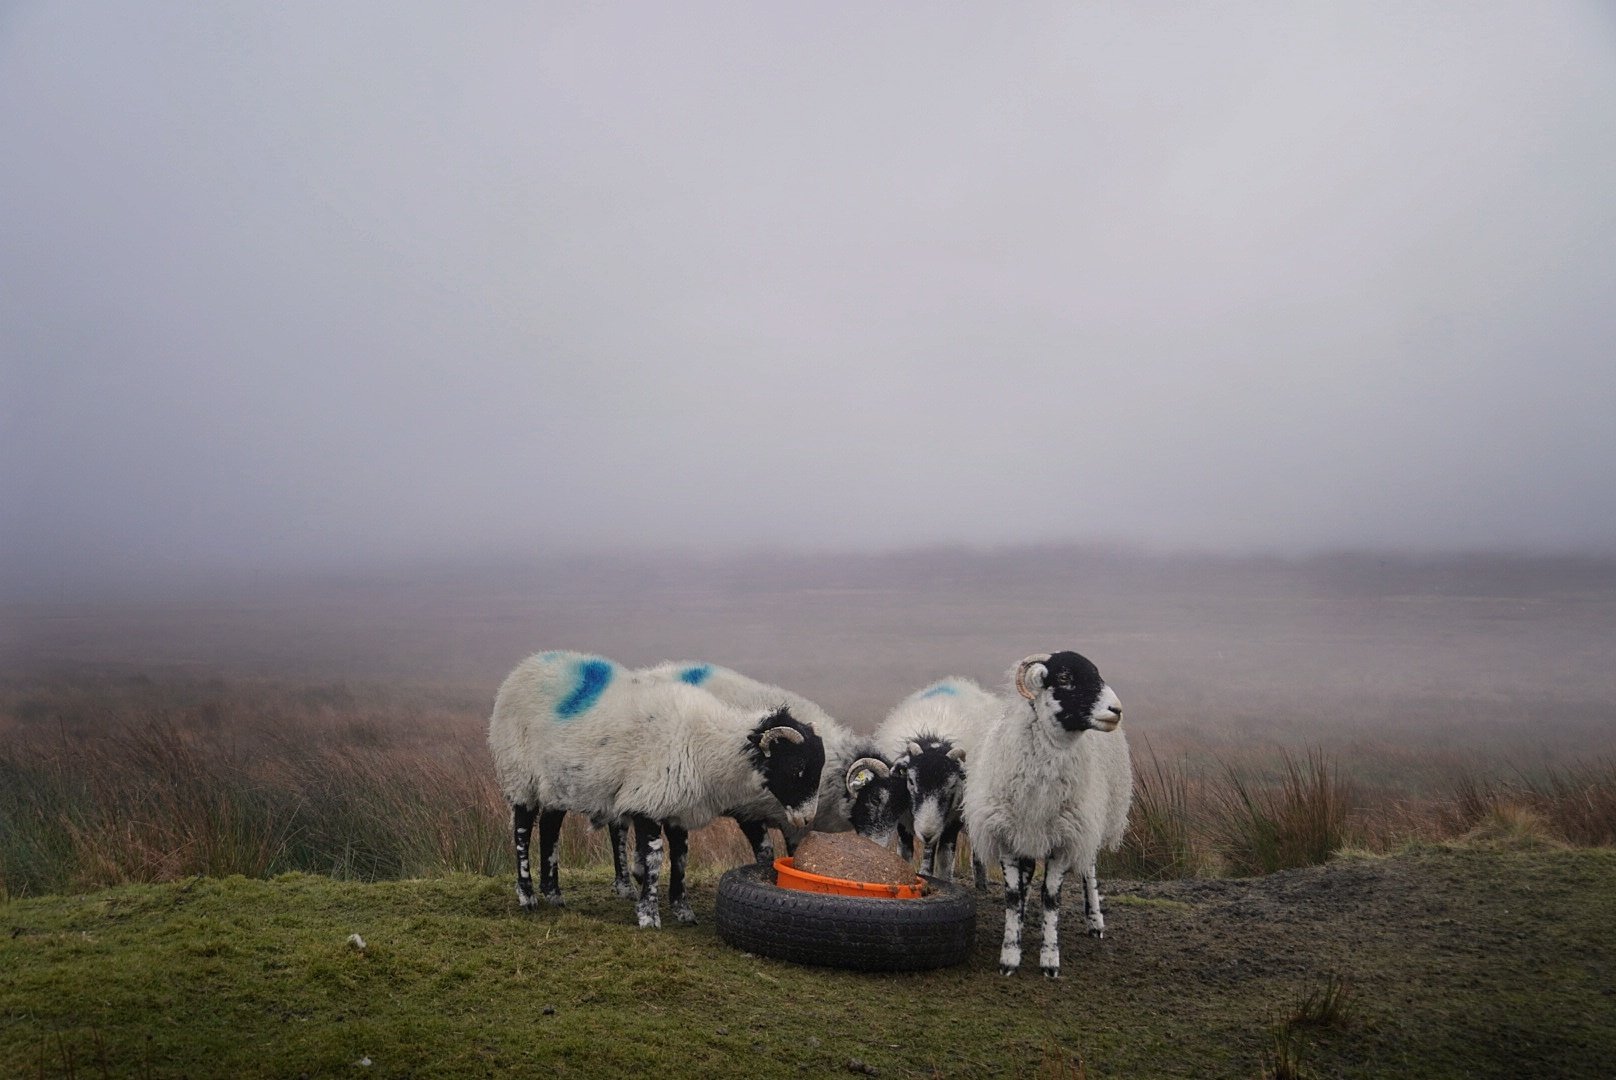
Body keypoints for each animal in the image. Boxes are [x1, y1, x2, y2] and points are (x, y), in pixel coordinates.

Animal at [488, 650, 826, 927]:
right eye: (797, 768)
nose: (807, 819)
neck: (707, 743)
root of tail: (524, 666)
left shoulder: (678, 808)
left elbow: (681, 857)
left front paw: (683, 910)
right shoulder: (647, 800)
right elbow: (653, 858)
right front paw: (649, 915)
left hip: (557, 783)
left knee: (550, 829)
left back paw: (554, 894)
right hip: (520, 775)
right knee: (521, 831)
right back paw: (527, 895)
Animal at [600, 661, 904, 894]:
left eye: (901, 809)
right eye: (875, 799)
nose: (879, 851)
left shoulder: (796, 824)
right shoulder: (748, 810)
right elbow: (767, 853)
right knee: (617, 827)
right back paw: (625, 883)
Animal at [873, 676, 999, 884]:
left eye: (952, 785)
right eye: (911, 781)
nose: (927, 833)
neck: (932, 738)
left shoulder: (954, 818)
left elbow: (945, 858)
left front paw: (943, 880)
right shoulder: (904, 820)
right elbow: (906, 854)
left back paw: (981, 884)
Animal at [960, 650, 1127, 977]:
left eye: (1097, 673)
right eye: (1064, 677)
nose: (1116, 710)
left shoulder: (1064, 839)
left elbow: (1051, 899)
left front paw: (1050, 959)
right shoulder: (1008, 835)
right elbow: (1013, 896)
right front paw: (1010, 955)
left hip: (1090, 820)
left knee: (1089, 869)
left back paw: (1095, 921)